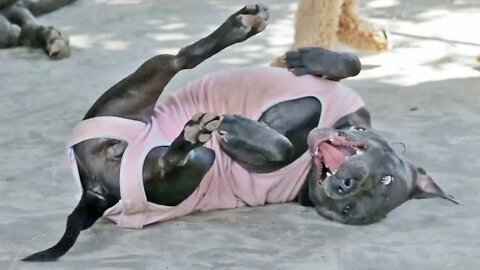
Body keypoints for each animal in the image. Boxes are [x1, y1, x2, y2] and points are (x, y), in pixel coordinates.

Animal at [22, 3, 458, 262]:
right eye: (385, 178)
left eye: (350, 211)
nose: (344, 186)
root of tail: (96, 190)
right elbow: (353, 62)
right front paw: (307, 58)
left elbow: (280, 146)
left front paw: (245, 130)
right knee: (181, 59)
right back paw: (243, 28)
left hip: (169, 151)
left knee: (182, 106)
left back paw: (195, 130)